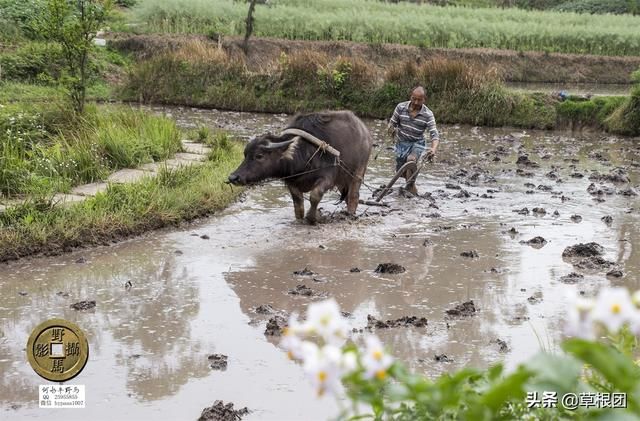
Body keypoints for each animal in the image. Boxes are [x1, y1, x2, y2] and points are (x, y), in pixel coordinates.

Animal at [228, 110, 372, 223]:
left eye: (259, 156)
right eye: (245, 154)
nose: (233, 177)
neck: (303, 155)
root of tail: (364, 132)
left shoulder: (328, 178)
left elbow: (315, 196)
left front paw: (313, 217)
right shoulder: (292, 183)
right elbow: (298, 205)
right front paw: (300, 219)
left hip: (359, 171)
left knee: (354, 195)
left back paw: (350, 214)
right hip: (342, 179)